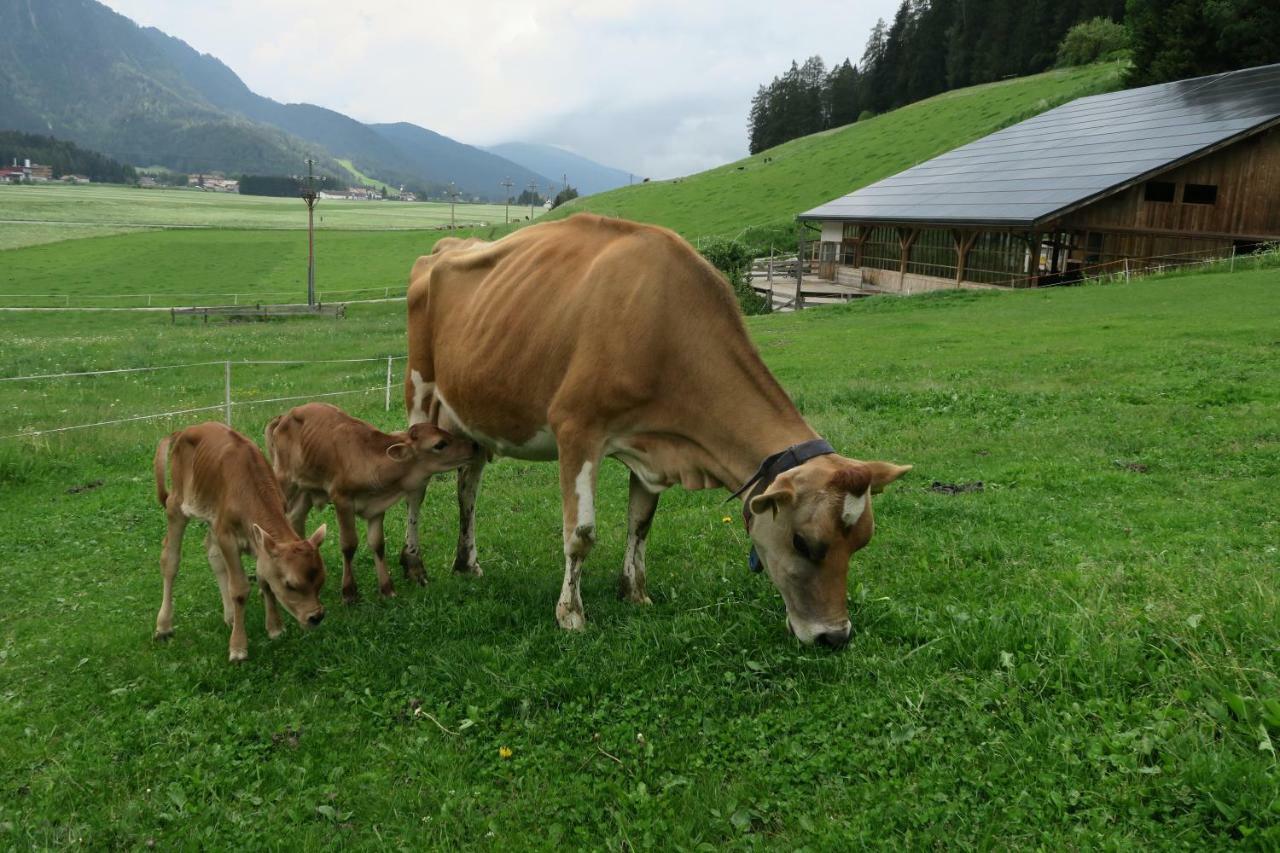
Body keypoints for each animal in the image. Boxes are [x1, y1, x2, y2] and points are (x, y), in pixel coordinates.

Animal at [153, 422, 330, 660]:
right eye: (291, 585)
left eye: (321, 580)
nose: (316, 617)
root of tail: (184, 431)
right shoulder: (227, 536)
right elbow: (238, 589)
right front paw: (238, 648)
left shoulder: (258, 542)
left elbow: (264, 579)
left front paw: (275, 628)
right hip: (176, 504)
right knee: (170, 560)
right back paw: (163, 626)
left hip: (211, 517)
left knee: (212, 553)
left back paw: (229, 616)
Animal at [264, 402, 476, 601]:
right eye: (439, 444)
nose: (472, 445)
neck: (369, 459)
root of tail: (284, 416)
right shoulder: (342, 499)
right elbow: (349, 544)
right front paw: (349, 592)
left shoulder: (377, 507)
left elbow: (378, 544)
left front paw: (387, 588)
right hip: (284, 479)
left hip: (307, 488)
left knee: (296, 517)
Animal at [399, 213, 911, 645]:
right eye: (804, 542)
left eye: (862, 542)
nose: (835, 637)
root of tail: (447, 246)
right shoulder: (576, 429)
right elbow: (580, 533)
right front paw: (571, 615)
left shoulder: (653, 446)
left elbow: (640, 523)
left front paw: (634, 592)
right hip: (420, 391)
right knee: (416, 486)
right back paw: (414, 565)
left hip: (471, 415)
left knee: (468, 486)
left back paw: (466, 563)